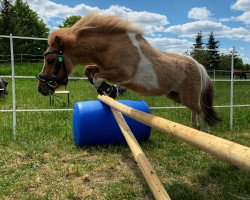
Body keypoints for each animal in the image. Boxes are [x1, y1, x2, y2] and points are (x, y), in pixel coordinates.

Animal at [37, 12, 221, 131]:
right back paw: (194, 129)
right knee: (195, 111)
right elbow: (91, 71)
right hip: (176, 96)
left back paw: (204, 132)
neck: (110, 46)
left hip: (188, 97)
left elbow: (97, 77)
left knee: (201, 111)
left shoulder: (123, 74)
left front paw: (110, 90)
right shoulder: (104, 67)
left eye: (51, 60)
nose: (41, 88)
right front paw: (107, 91)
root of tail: (198, 66)